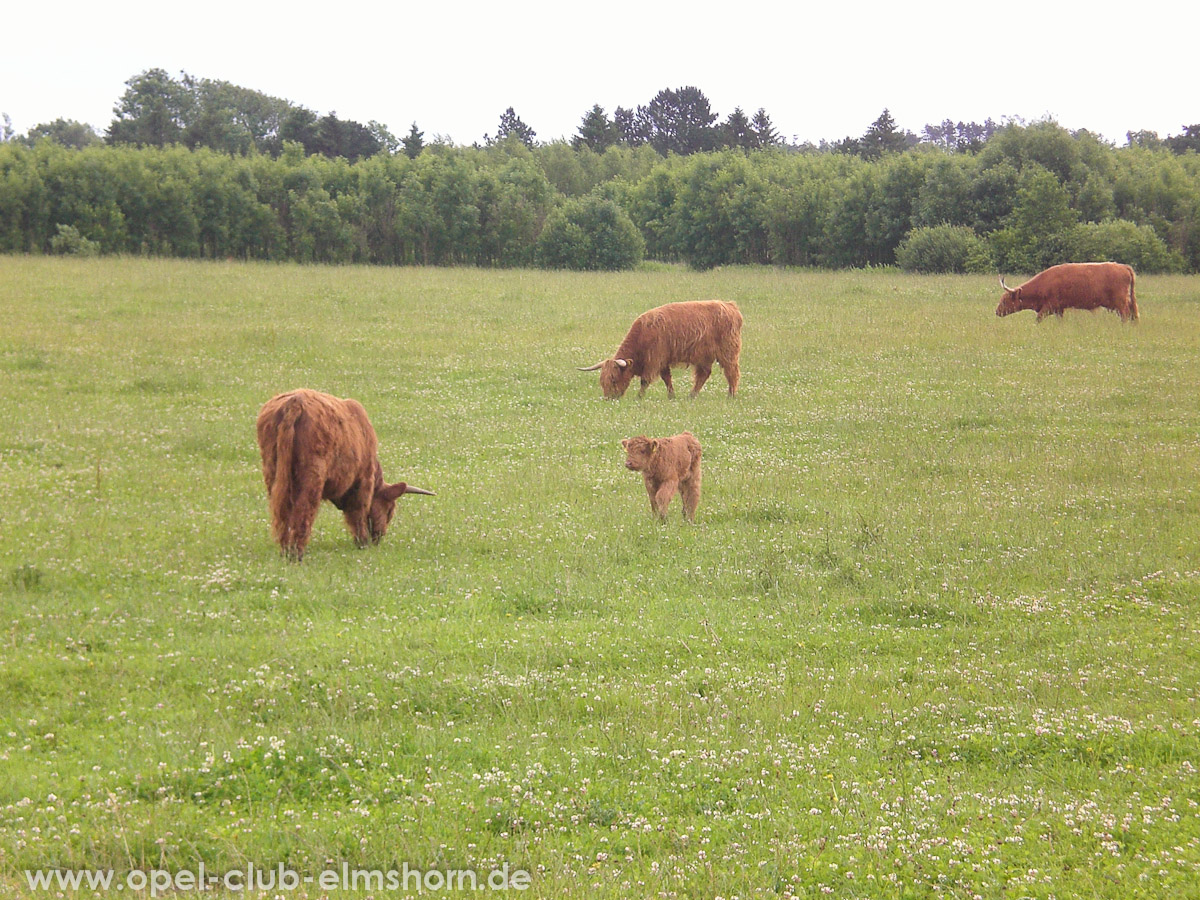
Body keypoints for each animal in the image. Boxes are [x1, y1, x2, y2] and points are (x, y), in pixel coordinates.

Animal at [255, 388, 434, 561]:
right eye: (390, 510)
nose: (379, 537)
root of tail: (295, 401)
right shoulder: (364, 480)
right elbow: (358, 510)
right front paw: (362, 543)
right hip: (313, 474)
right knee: (304, 509)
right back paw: (296, 554)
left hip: (273, 472)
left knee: (282, 511)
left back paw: (285, 551)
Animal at [578, 301, 739, 400]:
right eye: (601, 380)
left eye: (613, 378)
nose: (608, 398)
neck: (642, 334)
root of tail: (729, 305)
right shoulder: (663, 361)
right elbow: (667, 378)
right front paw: (671, 396)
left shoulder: (655, 360)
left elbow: (645, 380)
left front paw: (639, 397)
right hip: (704, 357)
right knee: (703, 375)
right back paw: (691, 395)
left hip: (728, 352)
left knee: (731, 372)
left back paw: (730, 395)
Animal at [998, 264, 1137, 324]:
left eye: (1004, 300)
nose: (997, 311)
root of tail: (1123, 266)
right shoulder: (1059, 309)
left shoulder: (1049, 307)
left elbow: (1038, 319)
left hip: (1120, 302)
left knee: (1125, 313)